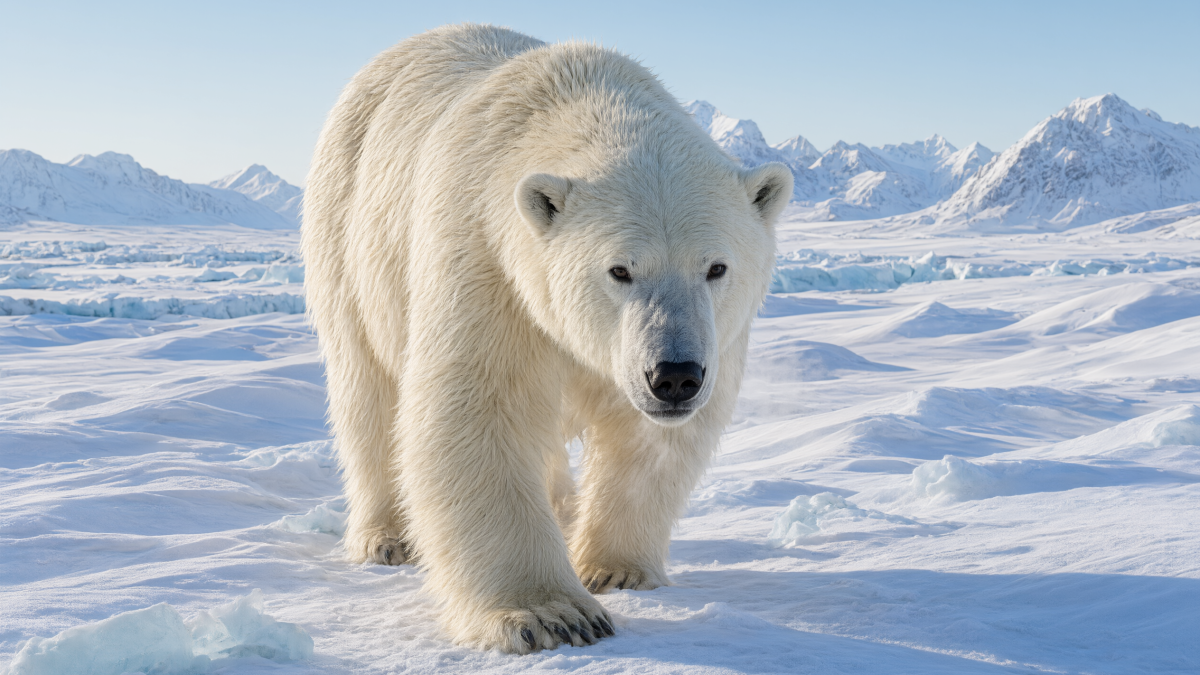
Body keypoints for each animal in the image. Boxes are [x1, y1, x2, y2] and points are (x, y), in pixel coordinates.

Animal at [301, 23, 792, 653]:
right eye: (619, 269)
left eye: (716, 267)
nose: (674, 377)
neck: (584, 96)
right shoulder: (489, 262)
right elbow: (478, 411)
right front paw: (551, 614)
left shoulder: (706, 343)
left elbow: (650, 443)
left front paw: (616, 570)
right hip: (347, 233)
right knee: (367, 387)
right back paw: (387, 536)